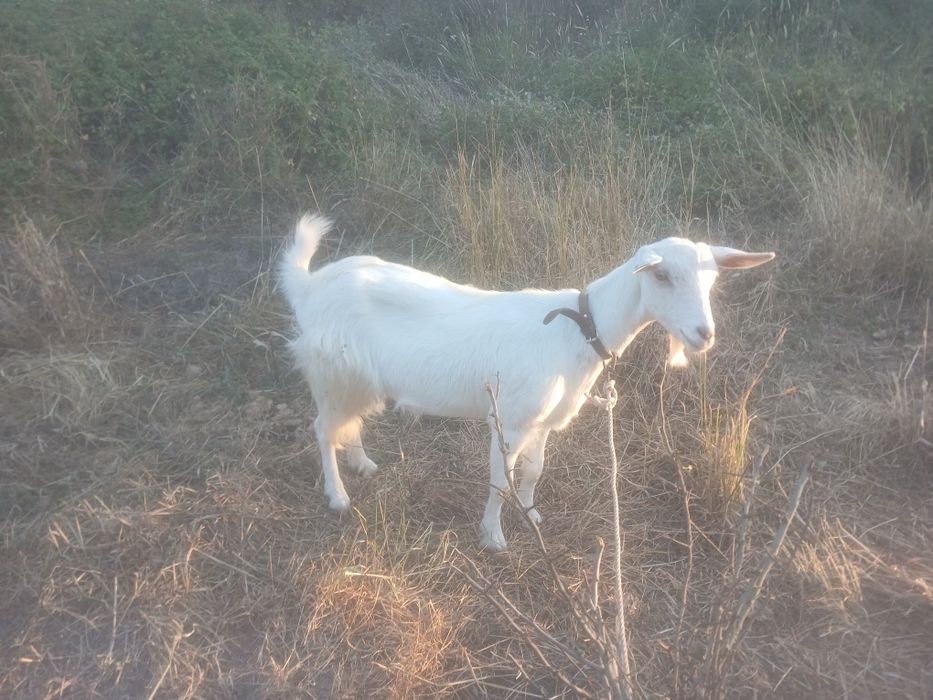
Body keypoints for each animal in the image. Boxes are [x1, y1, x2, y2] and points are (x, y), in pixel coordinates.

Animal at [279, 214, 775, 551]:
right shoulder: (511, 421)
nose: (703, 334)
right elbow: (501, 481)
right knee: (323, 429)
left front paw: (532, 513)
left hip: (356, 379)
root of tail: (310, 287)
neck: (579, 327)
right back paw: (338, 495)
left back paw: (362, 464)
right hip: (333, 371)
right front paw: (493, 537)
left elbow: (535, 470)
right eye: (662, 275)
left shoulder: (544, 419)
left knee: (347, 424)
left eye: (712, 280)